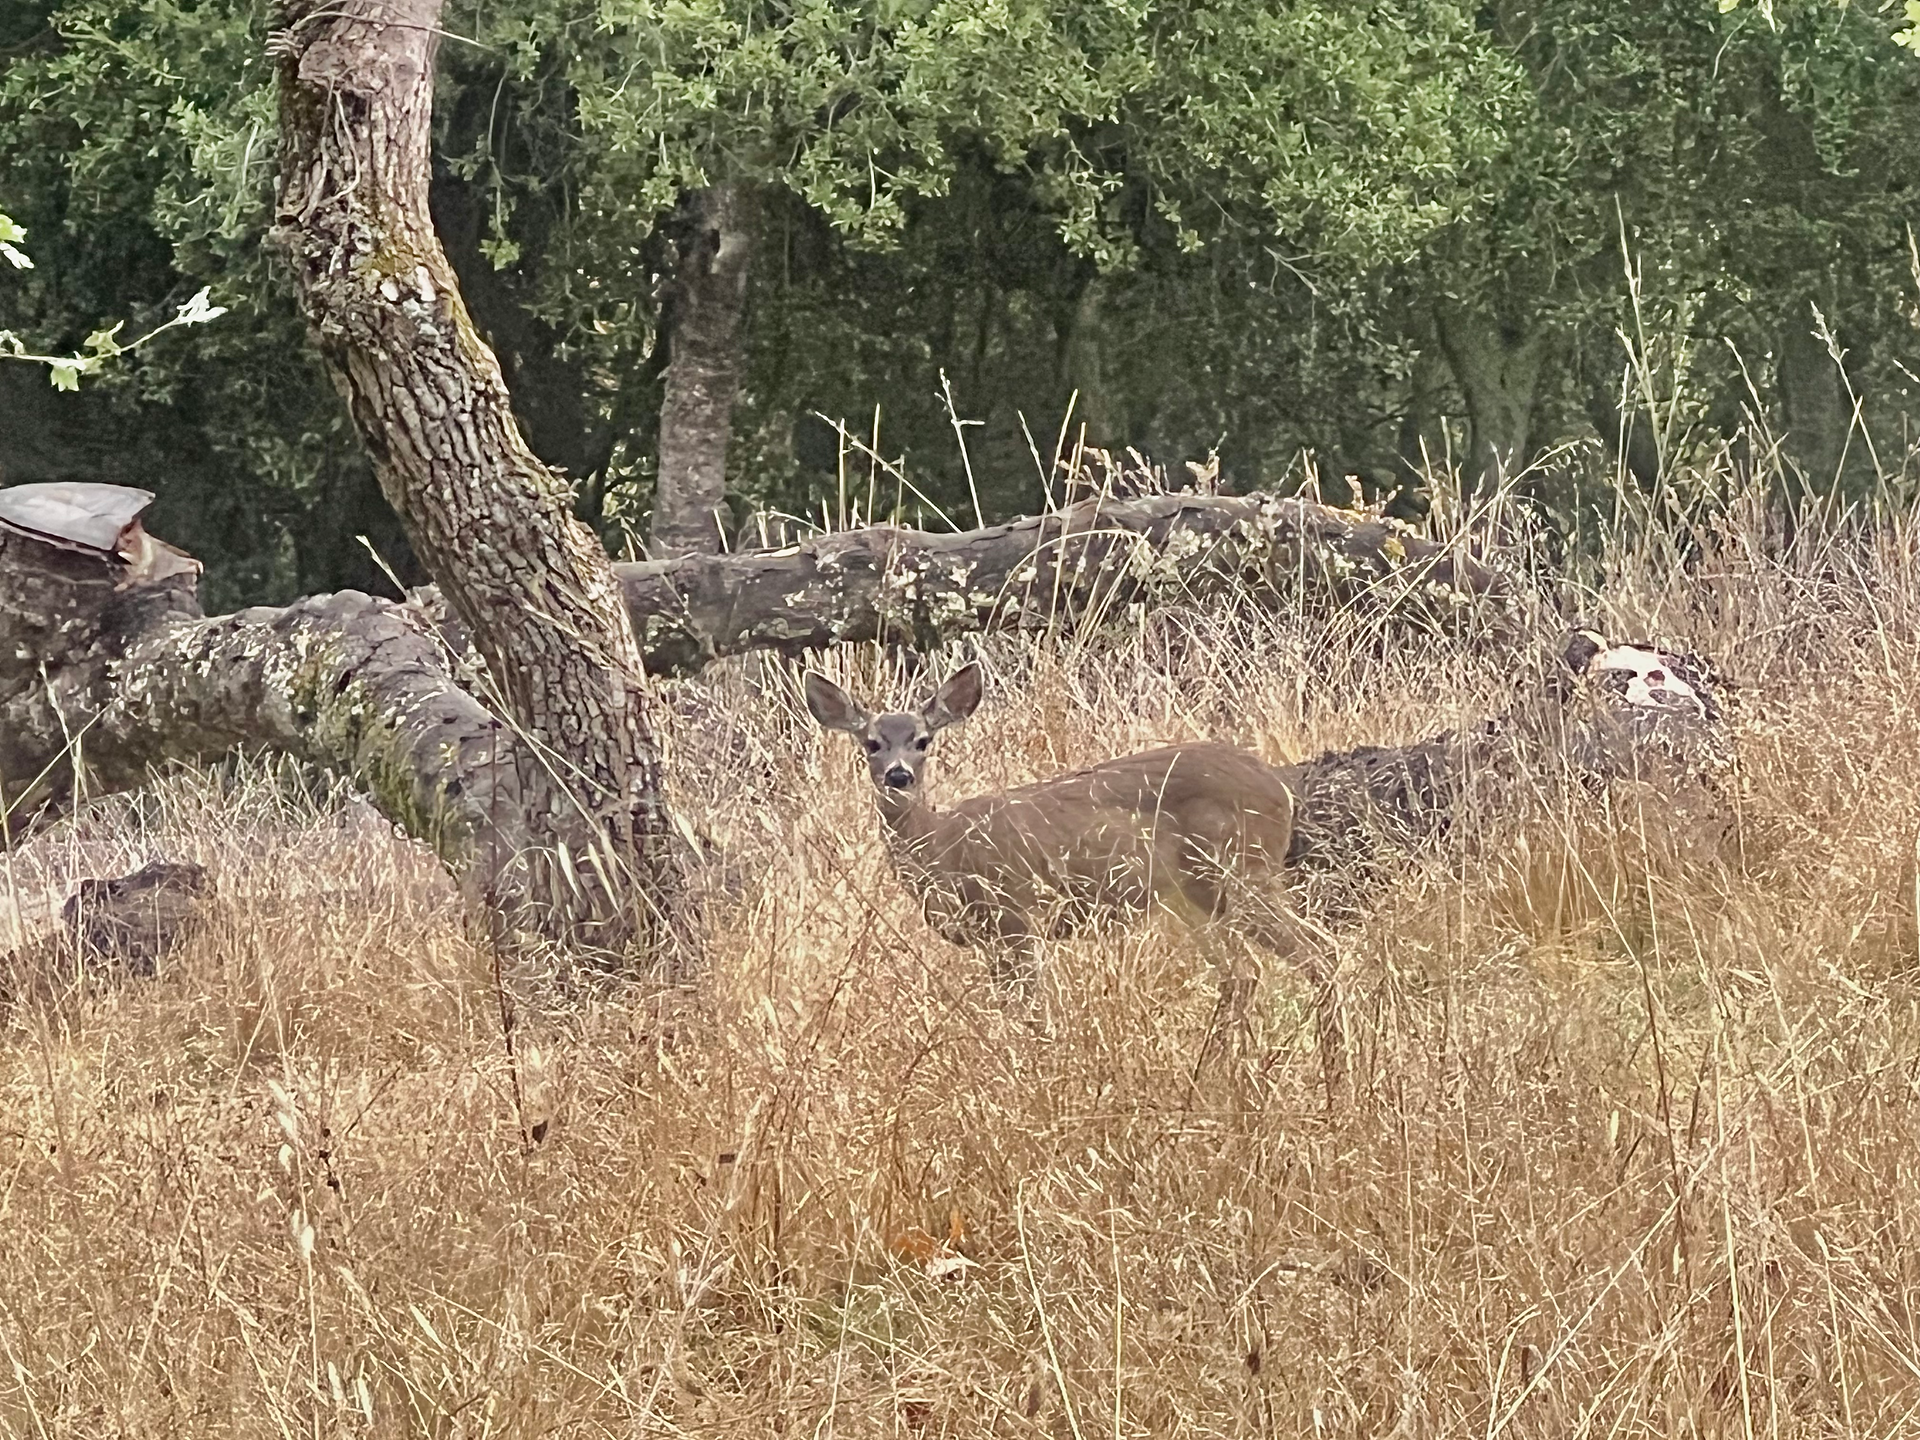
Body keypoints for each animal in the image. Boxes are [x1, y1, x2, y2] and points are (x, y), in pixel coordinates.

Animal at [803, 662, 1338, 1073]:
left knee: (1316, 955)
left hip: (1241, 872)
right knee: (1244, 973)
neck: (942, 847)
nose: (898, 776)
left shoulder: (1016, 918)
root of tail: (1281, 790)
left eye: (922, 740)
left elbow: (1033, 1015)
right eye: (871, 743)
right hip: (1195, 898)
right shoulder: (993, 941)